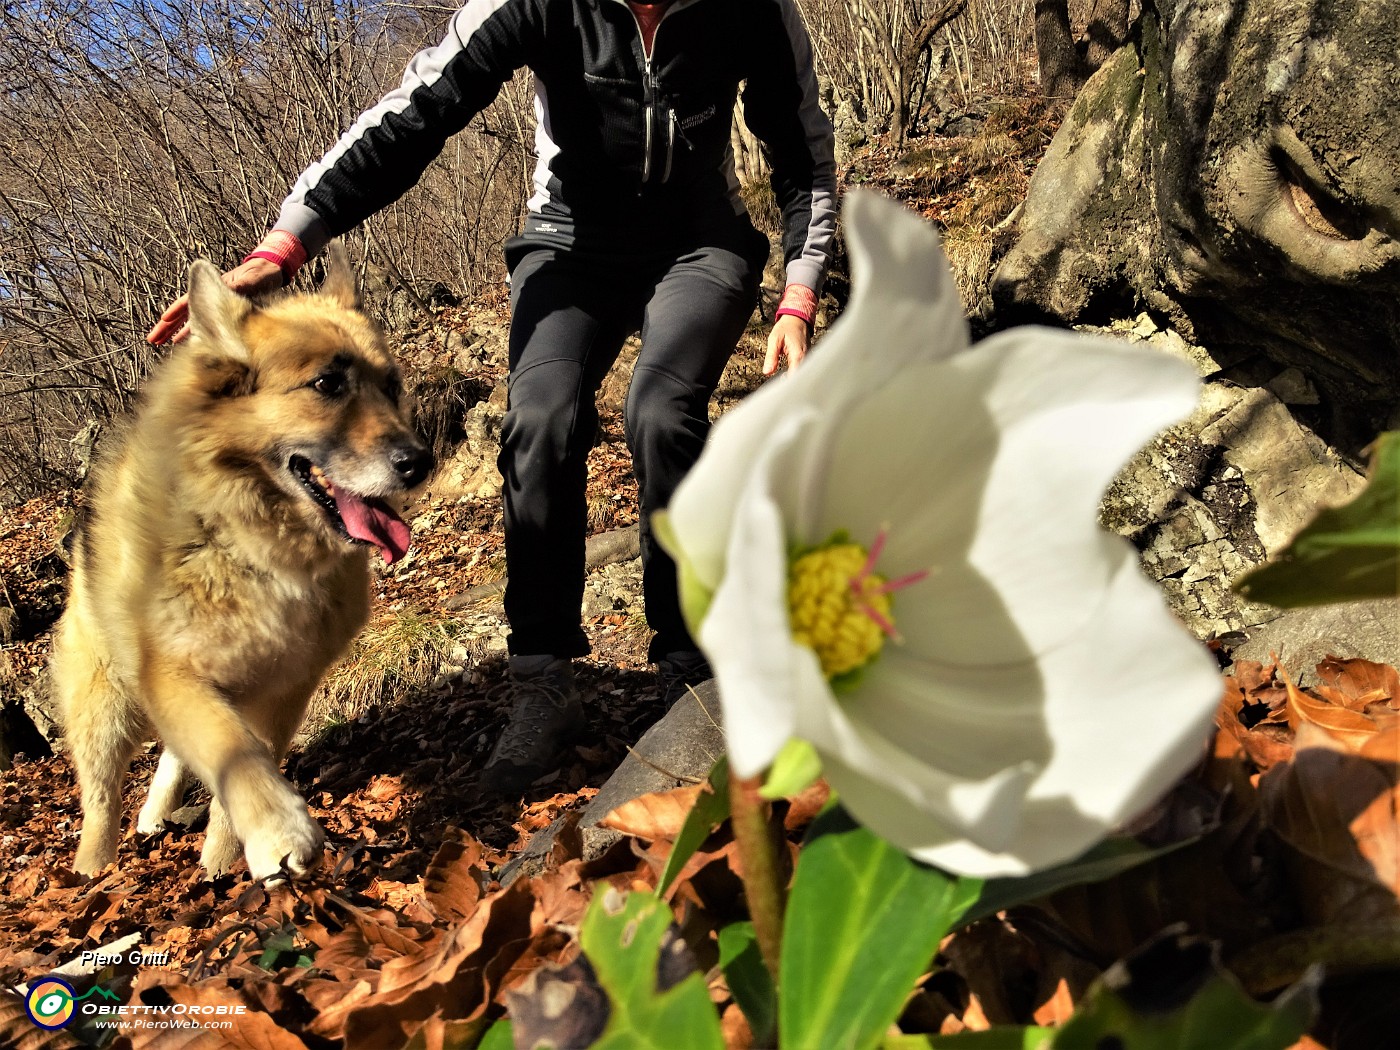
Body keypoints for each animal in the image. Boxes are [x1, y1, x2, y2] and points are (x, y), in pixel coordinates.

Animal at [53, 250, 431, 884]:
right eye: (327, 384)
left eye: (391, 386)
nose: (419, 463)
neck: (248, 543)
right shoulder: (173, 673)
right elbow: (232, 750)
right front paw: (278, 830)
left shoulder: (284, 688)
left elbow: (240, 770)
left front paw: (223, 865)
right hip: (106, 704)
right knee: (101, 799)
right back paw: (91, 871)